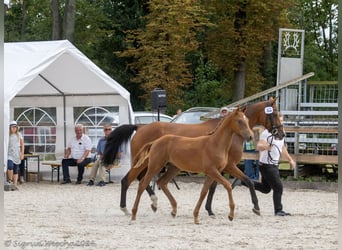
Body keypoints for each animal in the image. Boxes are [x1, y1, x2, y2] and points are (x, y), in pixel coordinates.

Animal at [103, 96, 284, 216]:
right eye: (274, 113)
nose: (281, 133)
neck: (228, 135)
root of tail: (139, 127)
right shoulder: (228, 165)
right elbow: (241, 182)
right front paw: (255, 207)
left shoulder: (219, 168)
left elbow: (215, 186)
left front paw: (209, 209)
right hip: (144, 163)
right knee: (130, 179)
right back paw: (128, 207)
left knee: (144, 180)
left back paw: (153, 202)